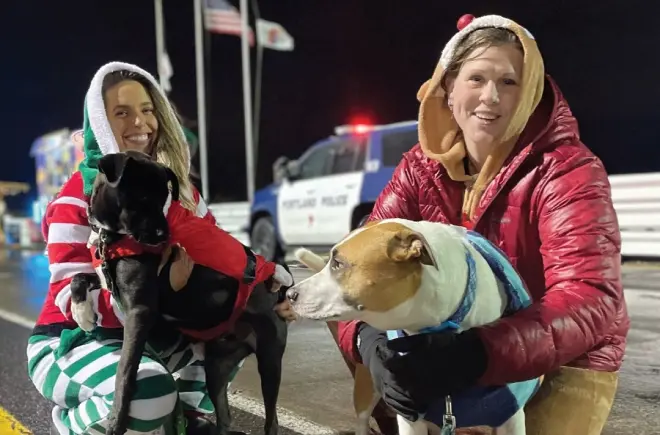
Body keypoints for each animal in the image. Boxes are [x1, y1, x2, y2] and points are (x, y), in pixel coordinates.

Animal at [71, 151, 288, 435]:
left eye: (164, 198)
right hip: (216, 368)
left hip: (270, 361)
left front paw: (116, 421)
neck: (112, 237)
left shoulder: (139, 312)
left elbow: (124, 372)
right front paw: (81, 312)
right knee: (224, 418)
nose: (164, 236)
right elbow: (78, 277)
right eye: (142, 197)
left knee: (271, 421)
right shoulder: (106, 279)